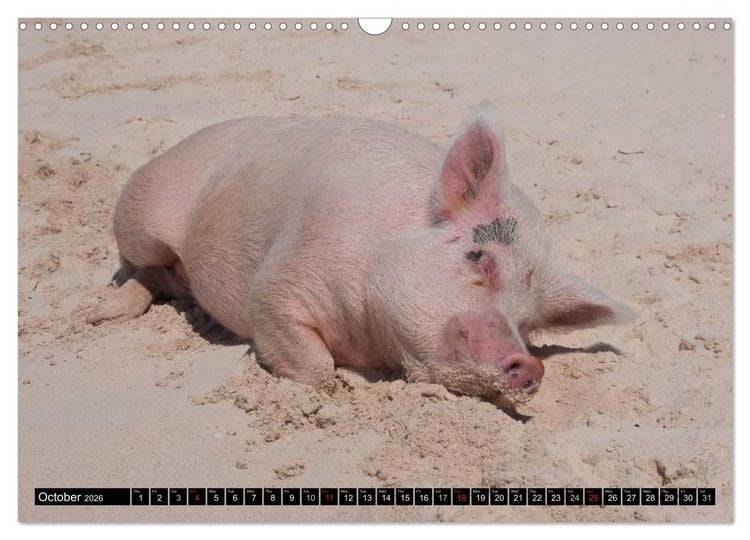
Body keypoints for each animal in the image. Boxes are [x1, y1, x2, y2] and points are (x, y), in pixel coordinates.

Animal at [87, 106, 632, 406]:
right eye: (479, 257)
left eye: (530, 322)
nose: (532, 365)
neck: (370, 337)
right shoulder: (280, 281)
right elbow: (315, 369)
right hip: (140, 214)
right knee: (143, 266)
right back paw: (96, 317)